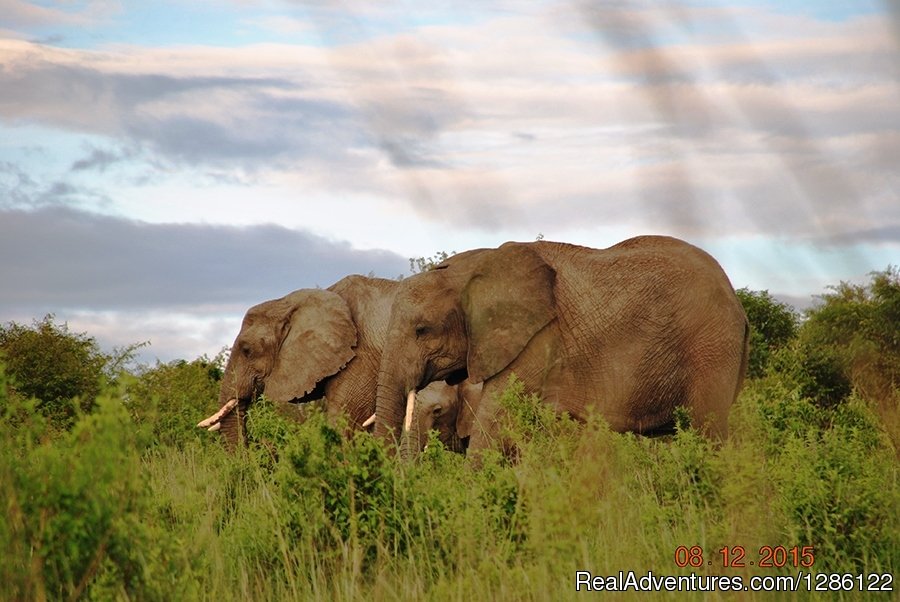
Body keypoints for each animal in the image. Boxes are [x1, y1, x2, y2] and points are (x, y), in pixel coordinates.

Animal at [372, 236, 752, 454]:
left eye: (422, 330)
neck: (473, 268)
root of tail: (738, 305)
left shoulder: (538, 339)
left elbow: (494, 422)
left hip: (711, 345)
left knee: (707, 434)